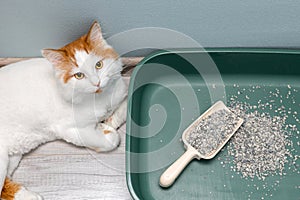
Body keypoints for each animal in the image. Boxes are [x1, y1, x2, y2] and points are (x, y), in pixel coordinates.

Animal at [0, 21, 127, 199]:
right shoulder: (70, 130)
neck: (100, 98)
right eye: (79, 75)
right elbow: (107, 140)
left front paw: (108, 122)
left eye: (99, 65)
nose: (97, 83)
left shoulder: (122, 90)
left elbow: (124, 108)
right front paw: (107, 131)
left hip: (14, 154)